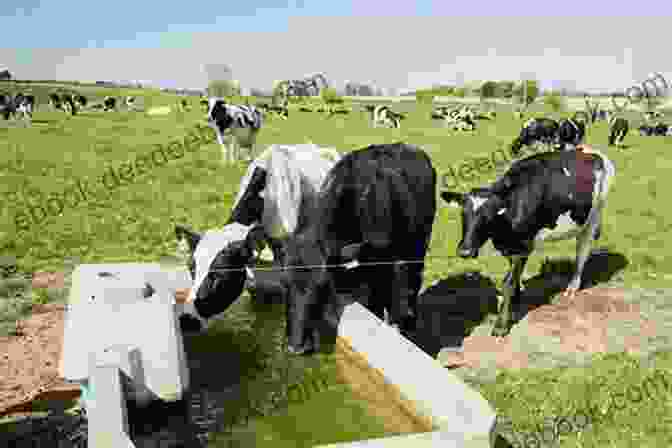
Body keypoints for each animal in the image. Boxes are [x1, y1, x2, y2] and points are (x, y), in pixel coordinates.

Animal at [276, 143, 436, 354]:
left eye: (321, 286)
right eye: (284, 283)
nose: (296, 347)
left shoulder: (380, 265)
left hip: (418, 244)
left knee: (411, 281)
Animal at [440, 147, 616, 336]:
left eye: (489, 216)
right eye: (463, 214)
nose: (465, 251)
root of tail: (592, 152)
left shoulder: (523, 245)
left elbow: (508, 282)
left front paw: (501, 325)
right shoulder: (512, 246)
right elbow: (514, 274)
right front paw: (517, 297)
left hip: (595, 214)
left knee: (583, 249)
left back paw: (572, 287)